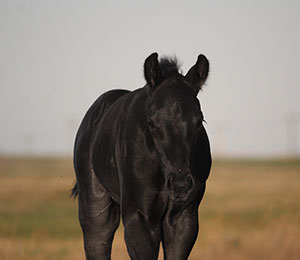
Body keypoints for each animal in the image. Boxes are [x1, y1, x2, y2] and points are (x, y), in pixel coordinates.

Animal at [72, 53, 211, 260]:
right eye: (151, 122)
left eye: (199, 121)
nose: (180, 185)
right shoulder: (140, 218)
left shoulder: (183, 217)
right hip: (95, 206)